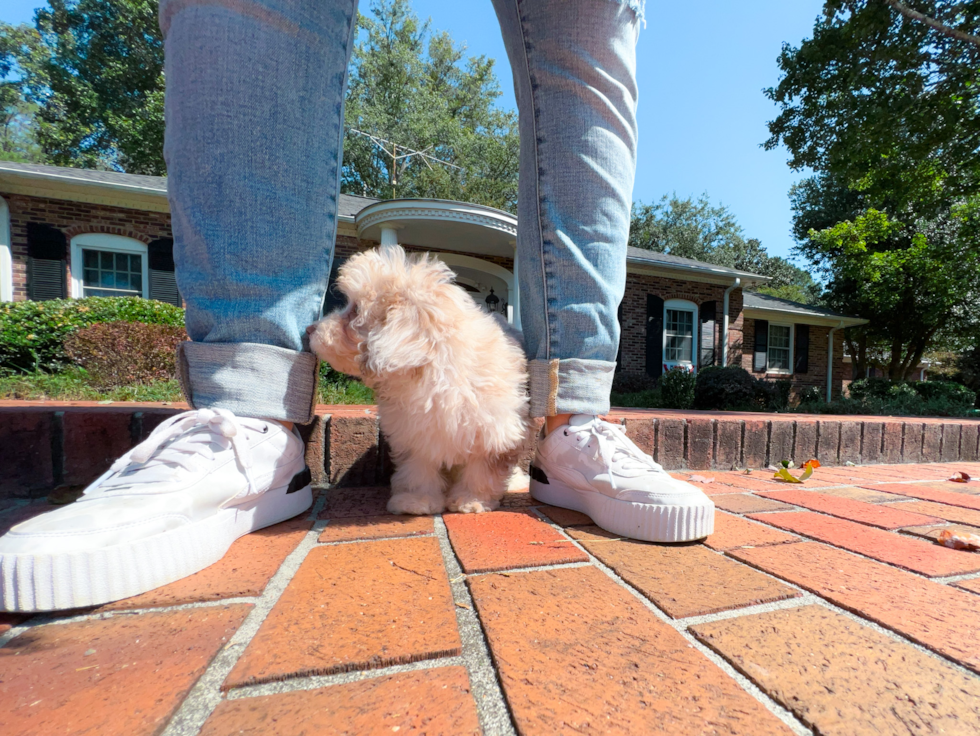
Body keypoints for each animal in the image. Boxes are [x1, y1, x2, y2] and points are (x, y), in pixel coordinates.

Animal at [310, 244, 532, 516]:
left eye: (355, 312)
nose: (310, 329)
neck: (434, 370)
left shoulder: (494, 431)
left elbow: (482, 471)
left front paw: (471, 500)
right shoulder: (414, 432)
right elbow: (418, 467)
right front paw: (415, 501)